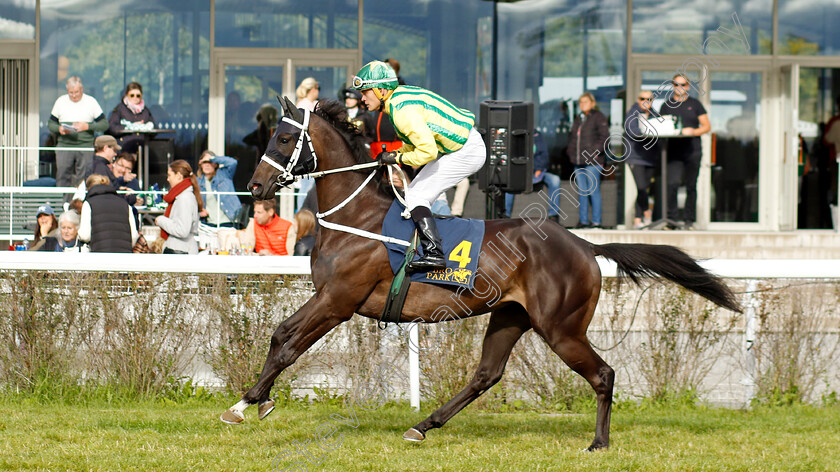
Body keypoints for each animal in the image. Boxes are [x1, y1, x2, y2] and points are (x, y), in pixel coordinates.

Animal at [225, 97, 740, 452]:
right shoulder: (331, 298)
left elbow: (288, 344)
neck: (356, 216)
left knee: (603, 374)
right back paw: (423, 425)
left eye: (284, 139)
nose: (255, 186)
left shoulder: (339, 301)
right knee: (486, 375)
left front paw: (244, 404)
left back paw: (599, 442)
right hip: (511, 316)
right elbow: (281, 336)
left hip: (561, 328)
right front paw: (255, 401)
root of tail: (584, 244)